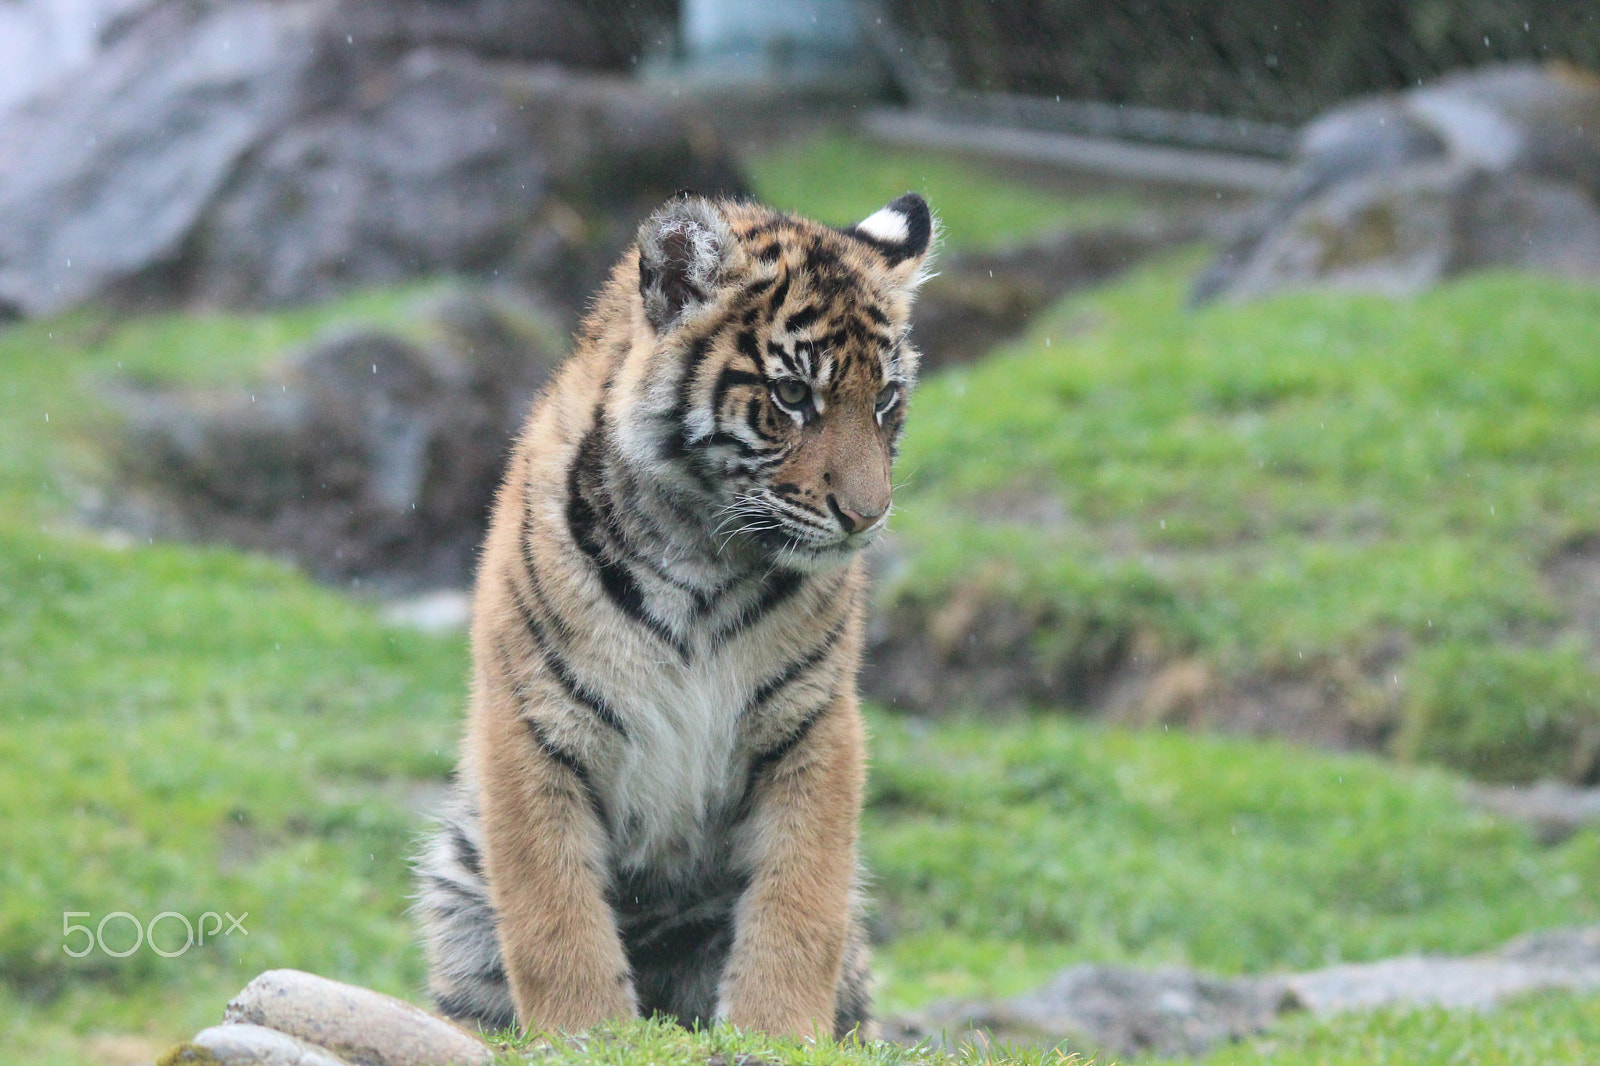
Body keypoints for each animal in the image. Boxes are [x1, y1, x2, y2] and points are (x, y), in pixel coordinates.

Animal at [413, 191, 935, 1042]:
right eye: (794, 397)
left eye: (885, 399)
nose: (867, 517)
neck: (703, 551)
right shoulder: (532, 722)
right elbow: (553, 912)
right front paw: (586, 1033)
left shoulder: (812, 723)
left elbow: (801, 900)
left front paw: (777, 1031)